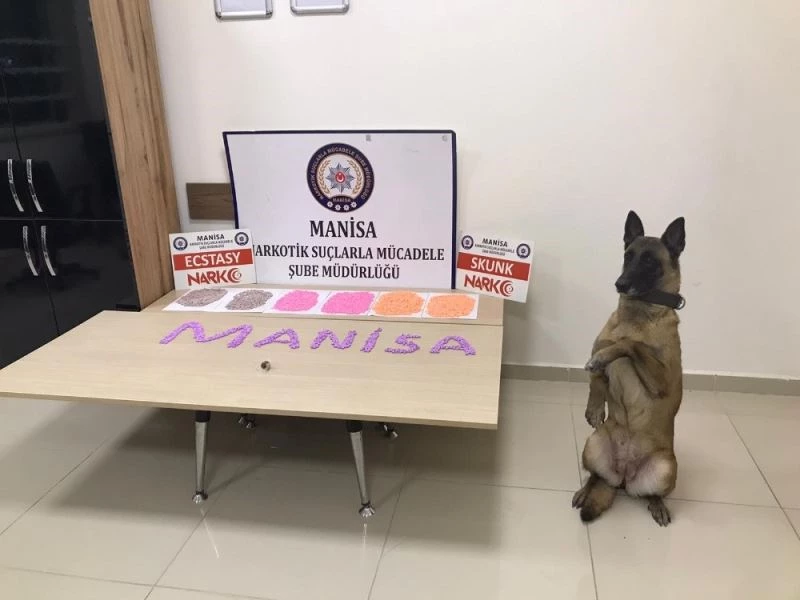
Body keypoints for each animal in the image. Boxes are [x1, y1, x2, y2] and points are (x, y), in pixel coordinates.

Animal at [572, 210, 686, 527]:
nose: (620, 283)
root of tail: (623, 477)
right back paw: (585, 491)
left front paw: (608, 354)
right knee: (596, 477)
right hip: (593, 443)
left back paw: (658, 504)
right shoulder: (597, 349)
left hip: (666, 467)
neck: (637, 313)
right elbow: (596, 377)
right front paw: (595, 407)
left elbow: (628, 345)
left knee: (651, 493)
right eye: (628, 255)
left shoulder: (662, 380)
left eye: (649, 261)